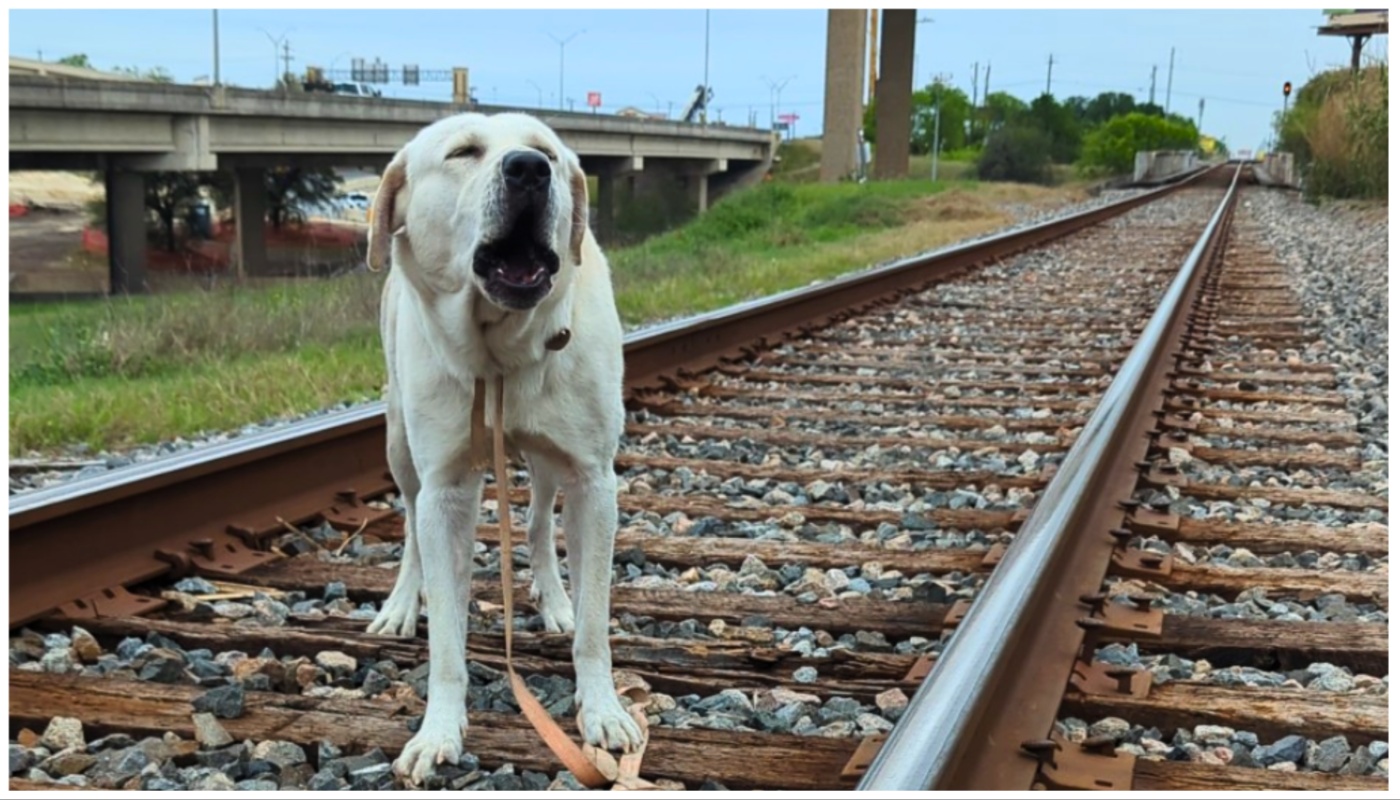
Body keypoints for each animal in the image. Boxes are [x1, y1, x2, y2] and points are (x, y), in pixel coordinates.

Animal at [364, 111, 641, 784]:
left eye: (546, 151)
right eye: (463, 152)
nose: (529, 170)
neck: (500, 352)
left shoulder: (594, 481)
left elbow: (595, 622)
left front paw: (603, 711)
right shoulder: (444, 490)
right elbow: (446, 637)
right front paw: (438, 731)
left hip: (549, 462)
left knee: (539, 520)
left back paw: (554, 599)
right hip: (398, 443)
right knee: (408, 524)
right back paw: (400, 604)